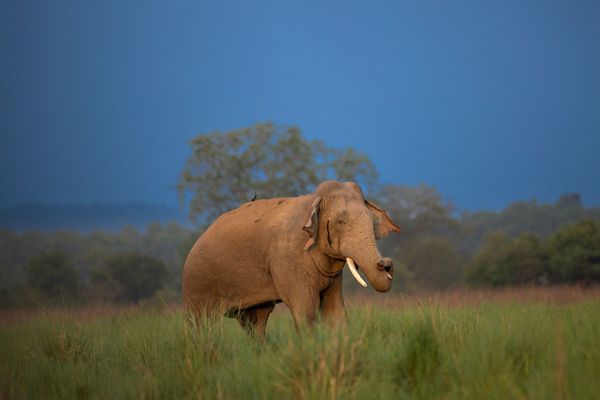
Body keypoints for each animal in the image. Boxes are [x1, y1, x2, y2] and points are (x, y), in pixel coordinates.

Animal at [180, 180, 400, 336]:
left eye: (372, 221)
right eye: (340, 222)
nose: (386, 264)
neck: (313, 199)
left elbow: (335, 311)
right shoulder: (288, 257)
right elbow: (306, 309)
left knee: (255, 323)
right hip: (197, 283)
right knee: (202, 325)